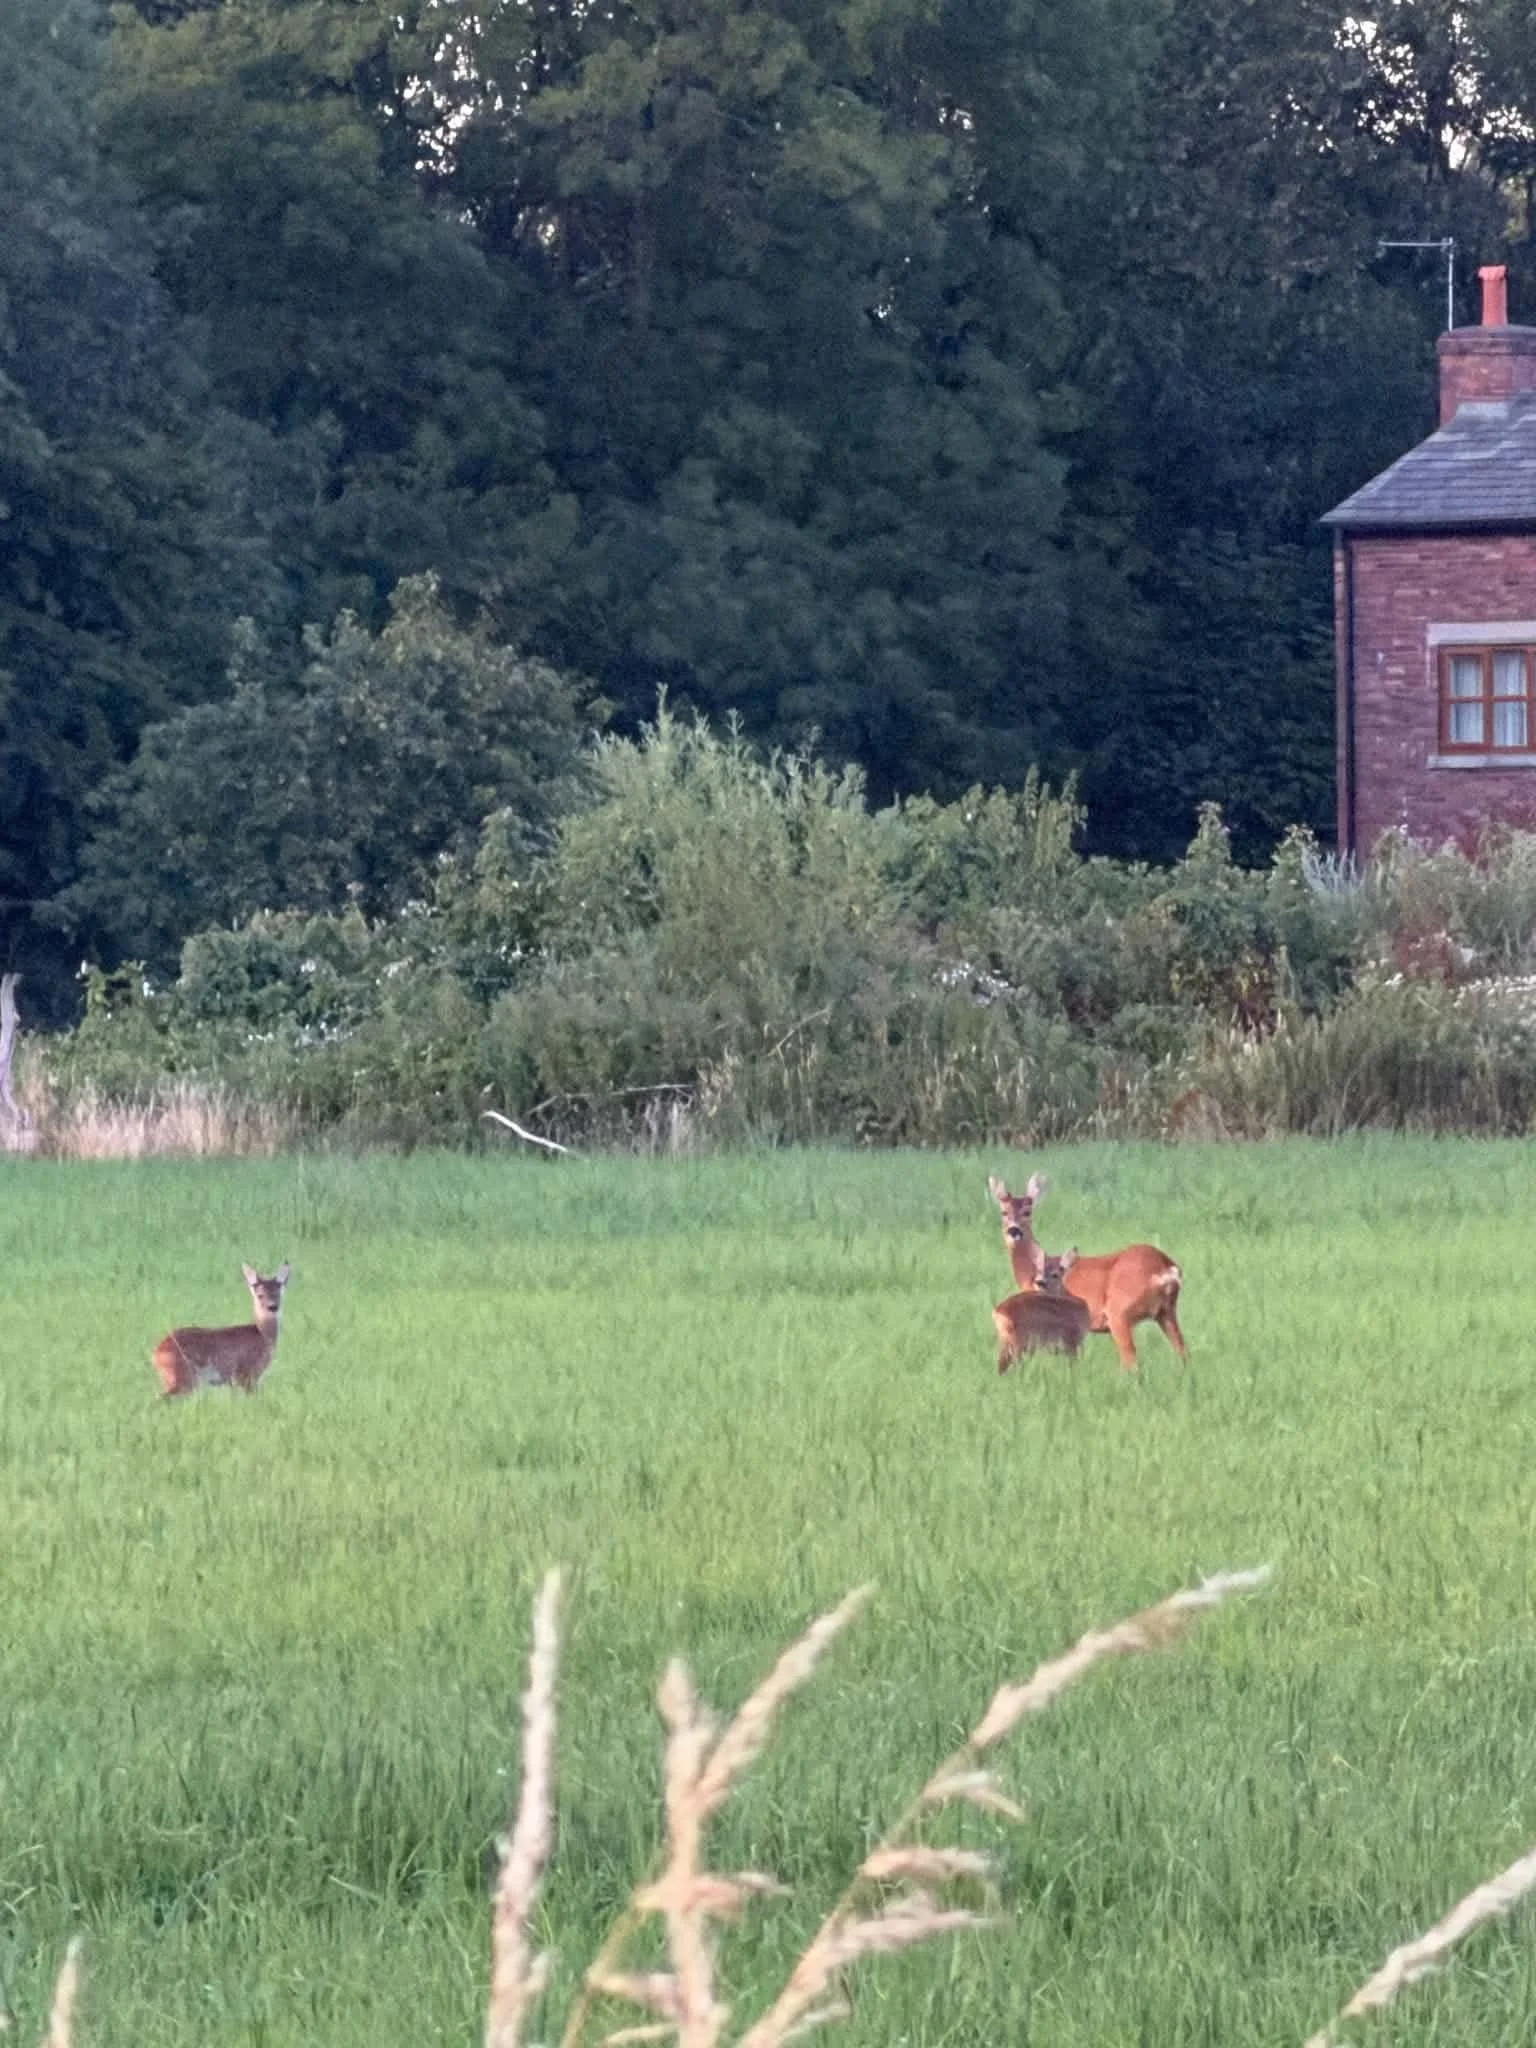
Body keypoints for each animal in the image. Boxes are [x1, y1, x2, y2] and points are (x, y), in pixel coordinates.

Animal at [151, 1263, 291, 1397]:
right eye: (260, 1295)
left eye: (277, 1293)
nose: (272, 1307)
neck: (262, 1335)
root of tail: (156, 1354)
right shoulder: (246, 1374)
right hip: (183, 1378)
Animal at [987, 1174, 1185, 1372]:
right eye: (1003, 1212)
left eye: (1028, 1212)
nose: (1014, 1230)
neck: (1030, 1270)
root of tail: (1166, 1267)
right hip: (1166, 1312)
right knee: (1183, 1353)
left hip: (1119, 1313)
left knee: (1131, 1362)